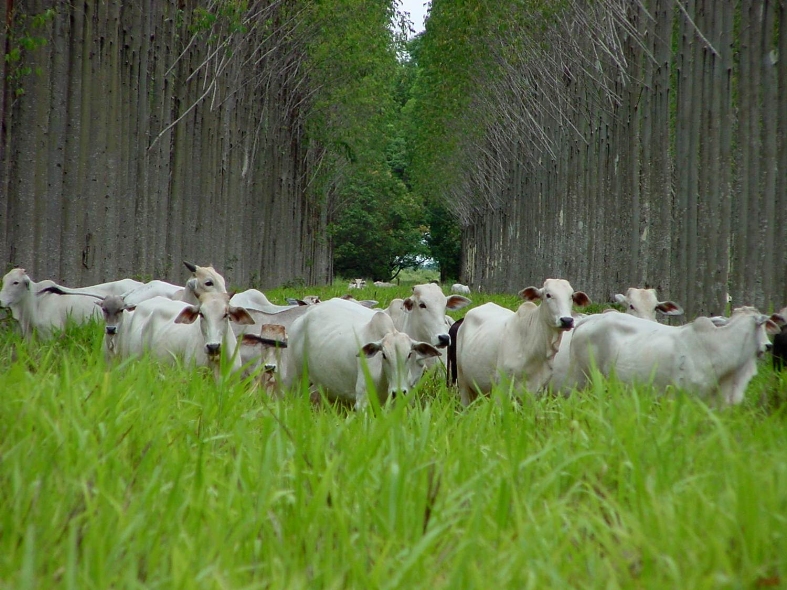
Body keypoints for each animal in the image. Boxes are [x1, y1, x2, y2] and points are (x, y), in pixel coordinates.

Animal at [284, 300, 444, 412]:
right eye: (384, 355)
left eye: (410, 354)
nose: (398, 391)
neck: (384, 381)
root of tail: (305, 314)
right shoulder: (362, 402)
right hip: (293, 379)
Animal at [456, 278, 592, 408]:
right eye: (548, 295)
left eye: (571, 296)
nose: (567, 320)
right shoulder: (501, 389)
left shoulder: (535, 393)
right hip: (463, 381)